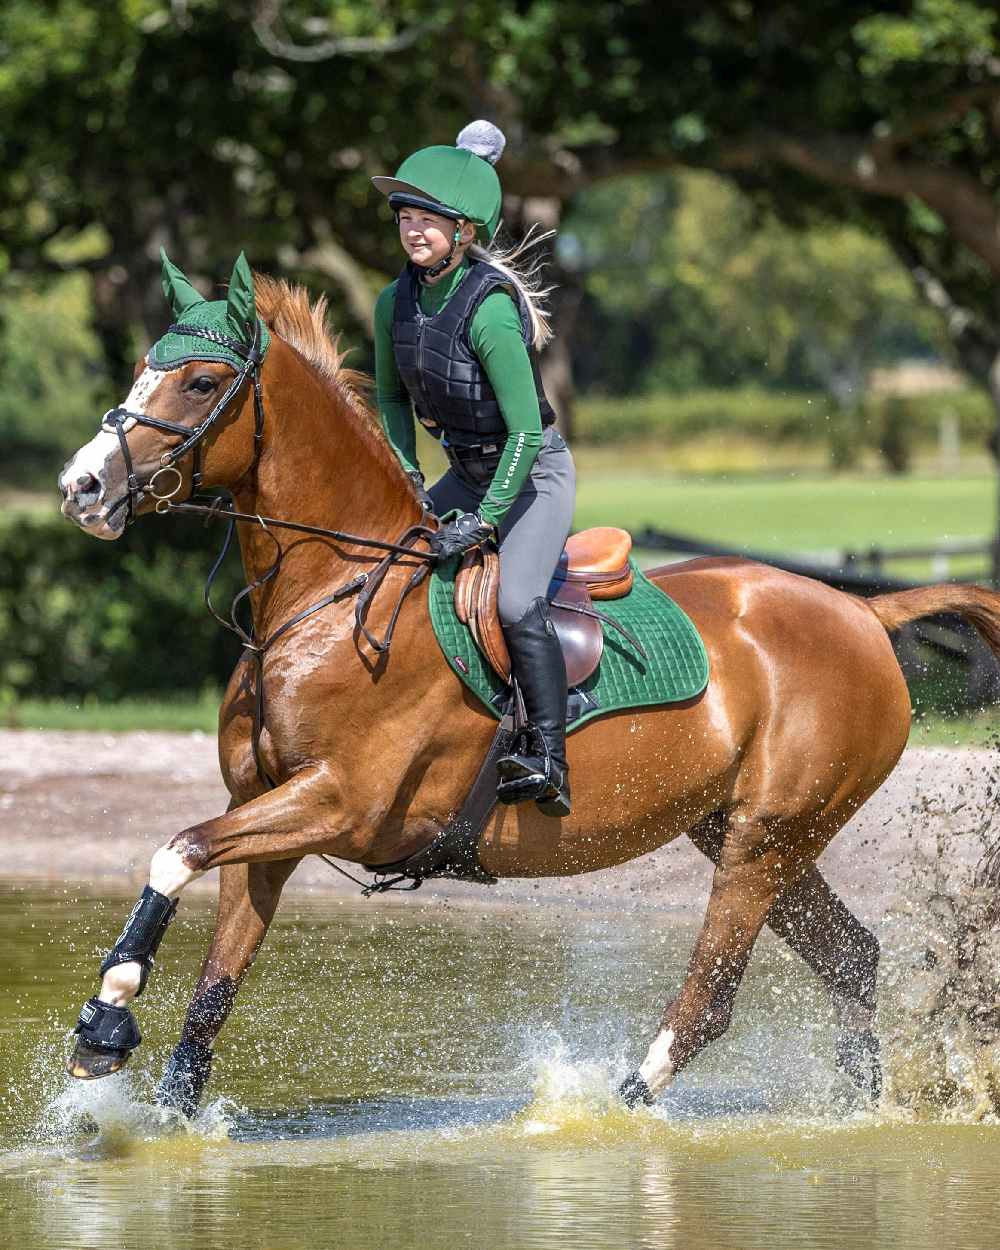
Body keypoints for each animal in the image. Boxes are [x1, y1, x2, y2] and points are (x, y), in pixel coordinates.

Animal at [56, 256, 1000, 1115]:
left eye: (200, 381)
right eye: (141, 366)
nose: (81, 488)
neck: (332, 592)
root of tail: (862, 612)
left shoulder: (341, 803)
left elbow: (176, 848)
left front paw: (106, 1021)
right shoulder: (267, 819)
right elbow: (214, 986)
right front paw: (151, 1097)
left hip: (767, 839)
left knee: (711, 997)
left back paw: (608, 1108)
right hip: (750, 832)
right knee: (851, 958)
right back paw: (858, 1111)